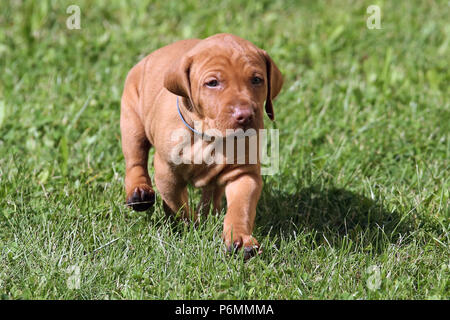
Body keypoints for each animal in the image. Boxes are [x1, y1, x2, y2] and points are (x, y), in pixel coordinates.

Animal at [119, 33, 282, 258]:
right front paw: (189, 227)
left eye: (257, 80)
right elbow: (178, 204)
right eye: (212, 83)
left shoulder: (244, 174)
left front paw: (241, 239)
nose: (245, 115)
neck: (209, 136)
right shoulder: (167, 172)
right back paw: (139, 193)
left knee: (212, 192)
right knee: (135, 160)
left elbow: (241, 209)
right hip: (132, 120)